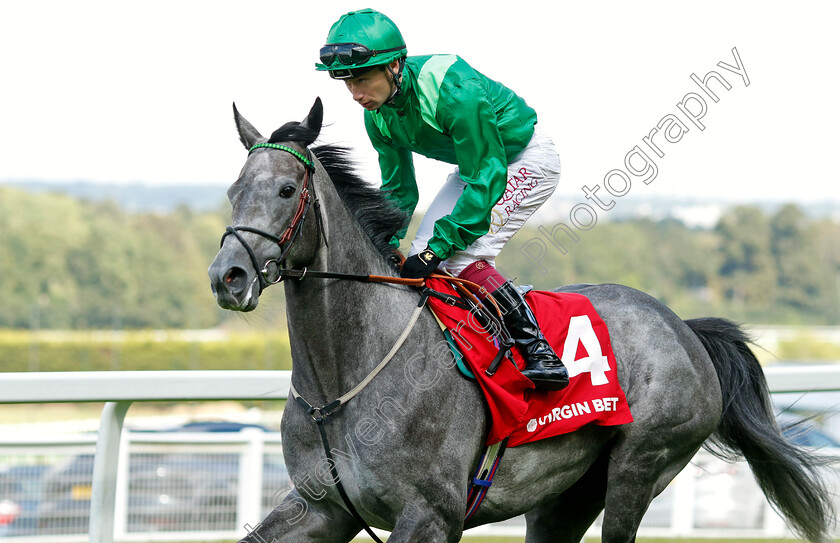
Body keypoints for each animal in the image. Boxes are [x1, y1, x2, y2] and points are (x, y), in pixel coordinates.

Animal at [210, 99, 832, 543]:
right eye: (233, 190)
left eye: (287, 189)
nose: (228, 277)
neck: (342, 380)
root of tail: (684, 327)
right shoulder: (321, 508)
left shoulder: (430, 514)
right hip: (566, 496)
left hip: (641, 468)